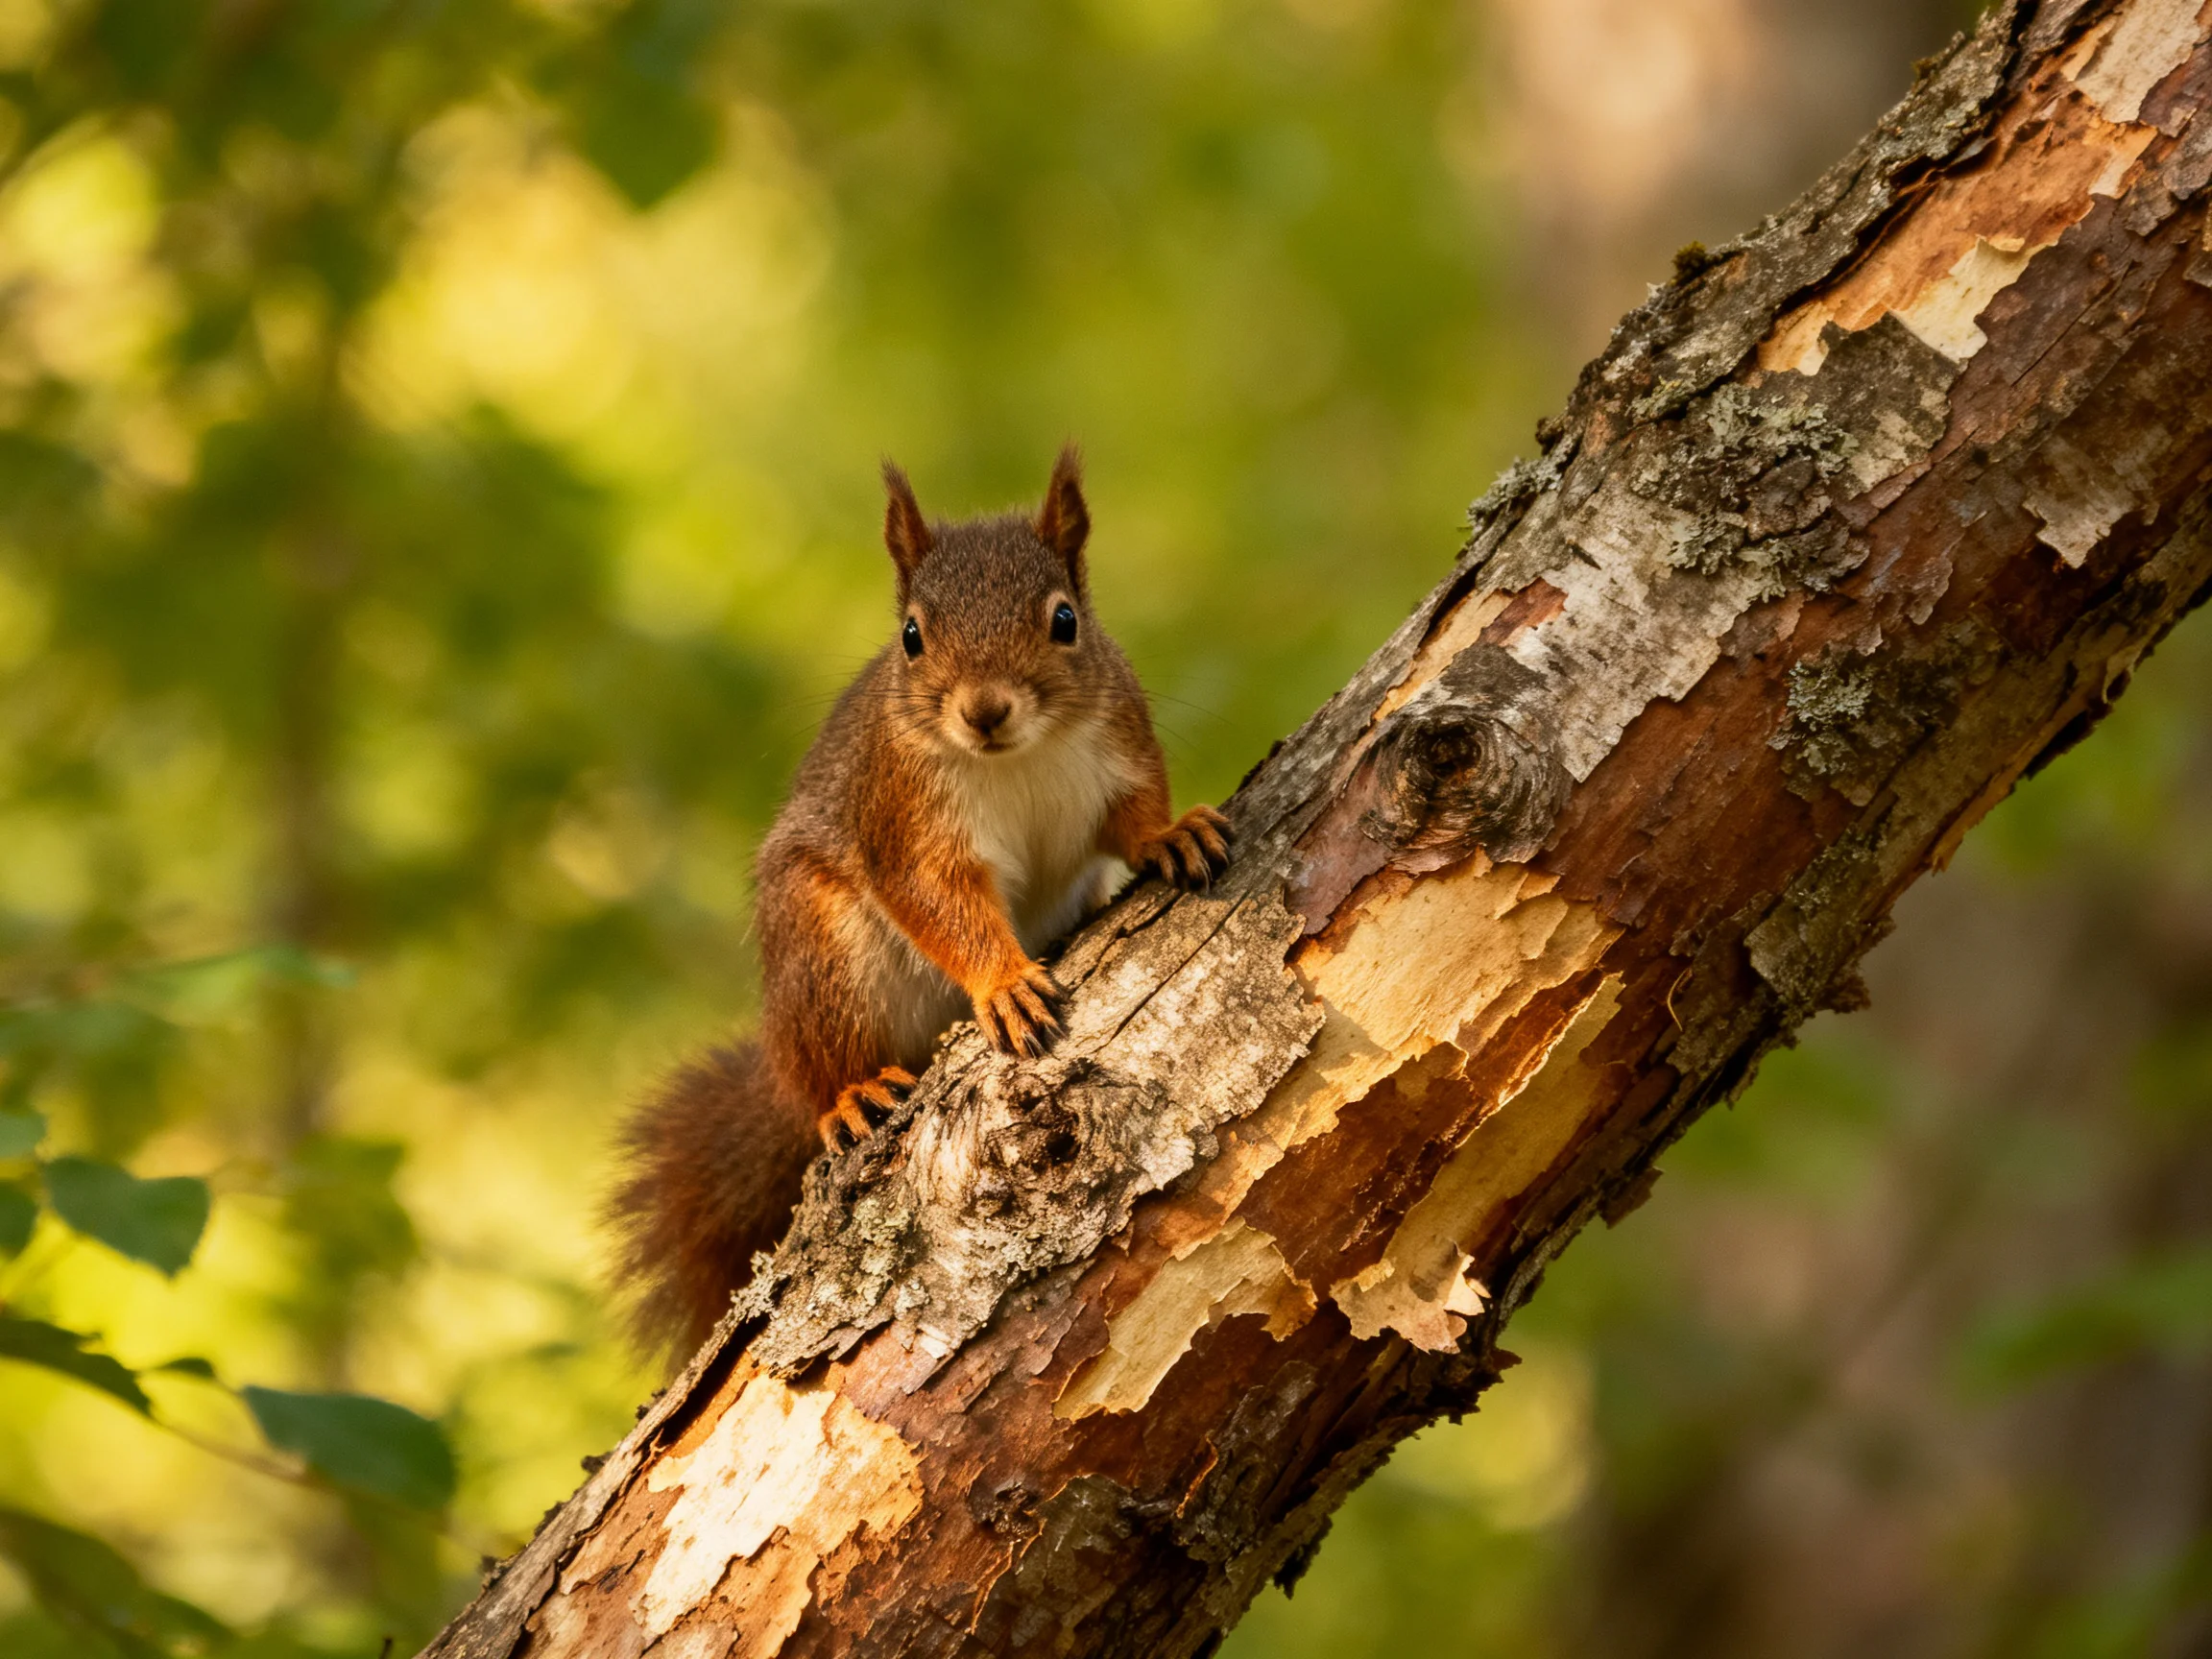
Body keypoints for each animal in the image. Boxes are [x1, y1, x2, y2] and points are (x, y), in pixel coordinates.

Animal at [607, 447, 1232, 1356]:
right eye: (912, 637)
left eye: (1066, 620)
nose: (985, 710)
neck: (1016, 759)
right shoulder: (906, 821)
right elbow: (940, 903)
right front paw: (1004, 985)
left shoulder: (1119, 743)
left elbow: (1135, 816)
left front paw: (1172, 835)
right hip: (822, 955)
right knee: (821, 1069)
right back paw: (853, 1093)